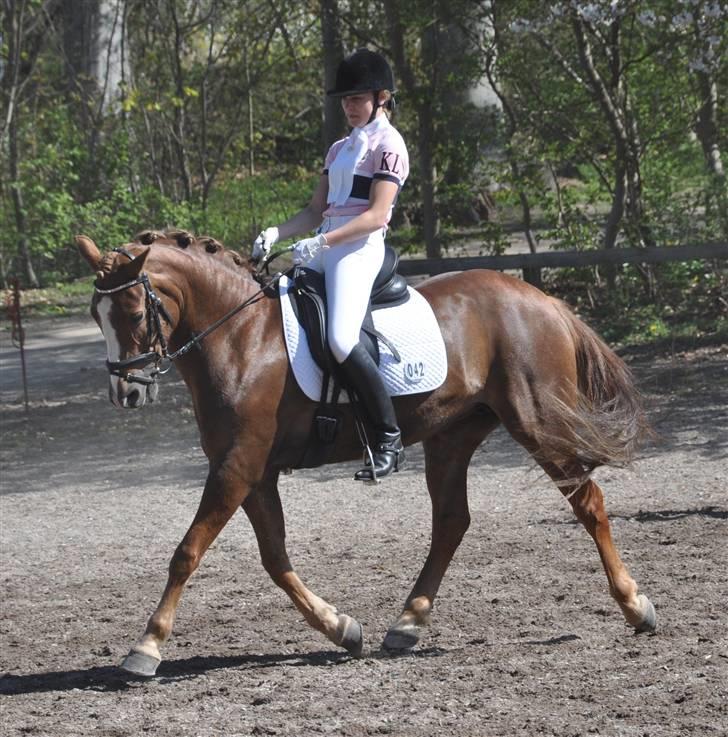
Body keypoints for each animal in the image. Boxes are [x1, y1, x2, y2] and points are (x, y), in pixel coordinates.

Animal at [75, 229, 656, 677]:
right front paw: (341, 628)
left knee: (588, 503)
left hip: (538, 424)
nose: (126, 392)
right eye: (95, 314)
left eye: (133, 312)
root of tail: (541, 298)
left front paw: (146, 646)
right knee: (451, 522)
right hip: (452, 436)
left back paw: (636, 606)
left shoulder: (236, 467)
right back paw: (407, 623)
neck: (240, 337)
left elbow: (187, 552)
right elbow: (275, 558)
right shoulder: (254, 473)